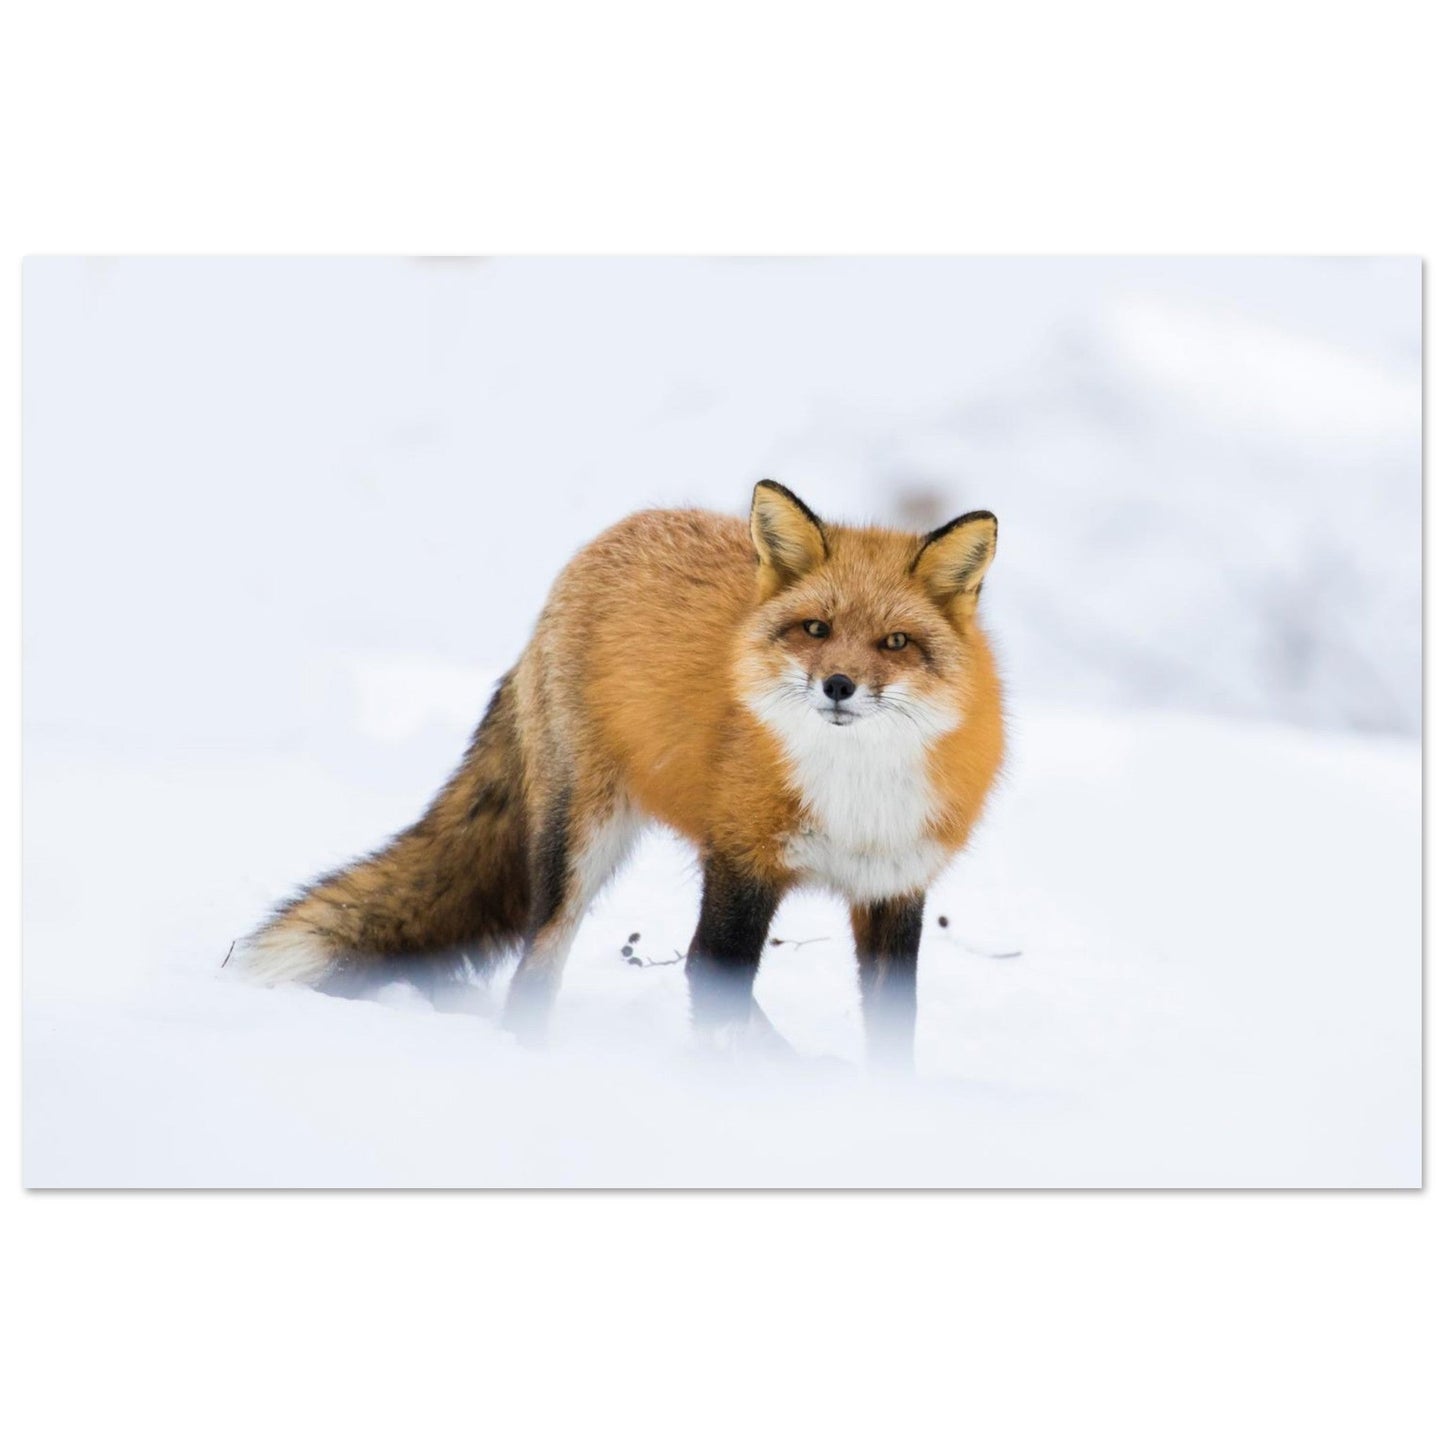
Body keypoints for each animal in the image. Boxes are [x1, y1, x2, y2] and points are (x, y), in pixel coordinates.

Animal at [235, 481, 1004, 1065]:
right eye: (816, 629)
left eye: (895, 642)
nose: (838, 686)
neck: (855, 794)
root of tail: (608, 537)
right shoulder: (740, 864)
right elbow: (713, 982)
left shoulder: (894, 885)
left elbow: (891, 1031)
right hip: (580, 843)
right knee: (541, 965)